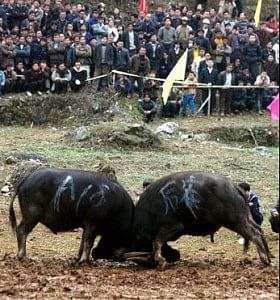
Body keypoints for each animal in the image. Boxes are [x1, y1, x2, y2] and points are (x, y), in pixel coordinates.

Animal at [128, 172, 272, 268]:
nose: (176, 256)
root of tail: (234, 187)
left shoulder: (173, 227)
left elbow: (157, 242)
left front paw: (160, 260)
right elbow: (159, 242)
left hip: (236, 221)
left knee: (254, 234)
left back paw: (264, 259)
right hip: (246, 218)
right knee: (259, 230)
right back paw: (269, 256)